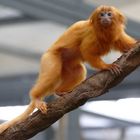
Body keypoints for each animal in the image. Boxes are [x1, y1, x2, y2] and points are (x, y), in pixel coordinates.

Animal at [0, 5, 136, 132]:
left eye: (109, 14)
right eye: (101, 14)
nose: (105, 18)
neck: (104, 30)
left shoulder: (117, 34)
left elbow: (127, 46)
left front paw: (135, 47)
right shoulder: (91, 35)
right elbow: (86, 51)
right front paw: (106, 66)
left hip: (68, 64)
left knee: (79, 71)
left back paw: (60, 91)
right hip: (50, 57)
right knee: (52, 73)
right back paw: (36, 98)